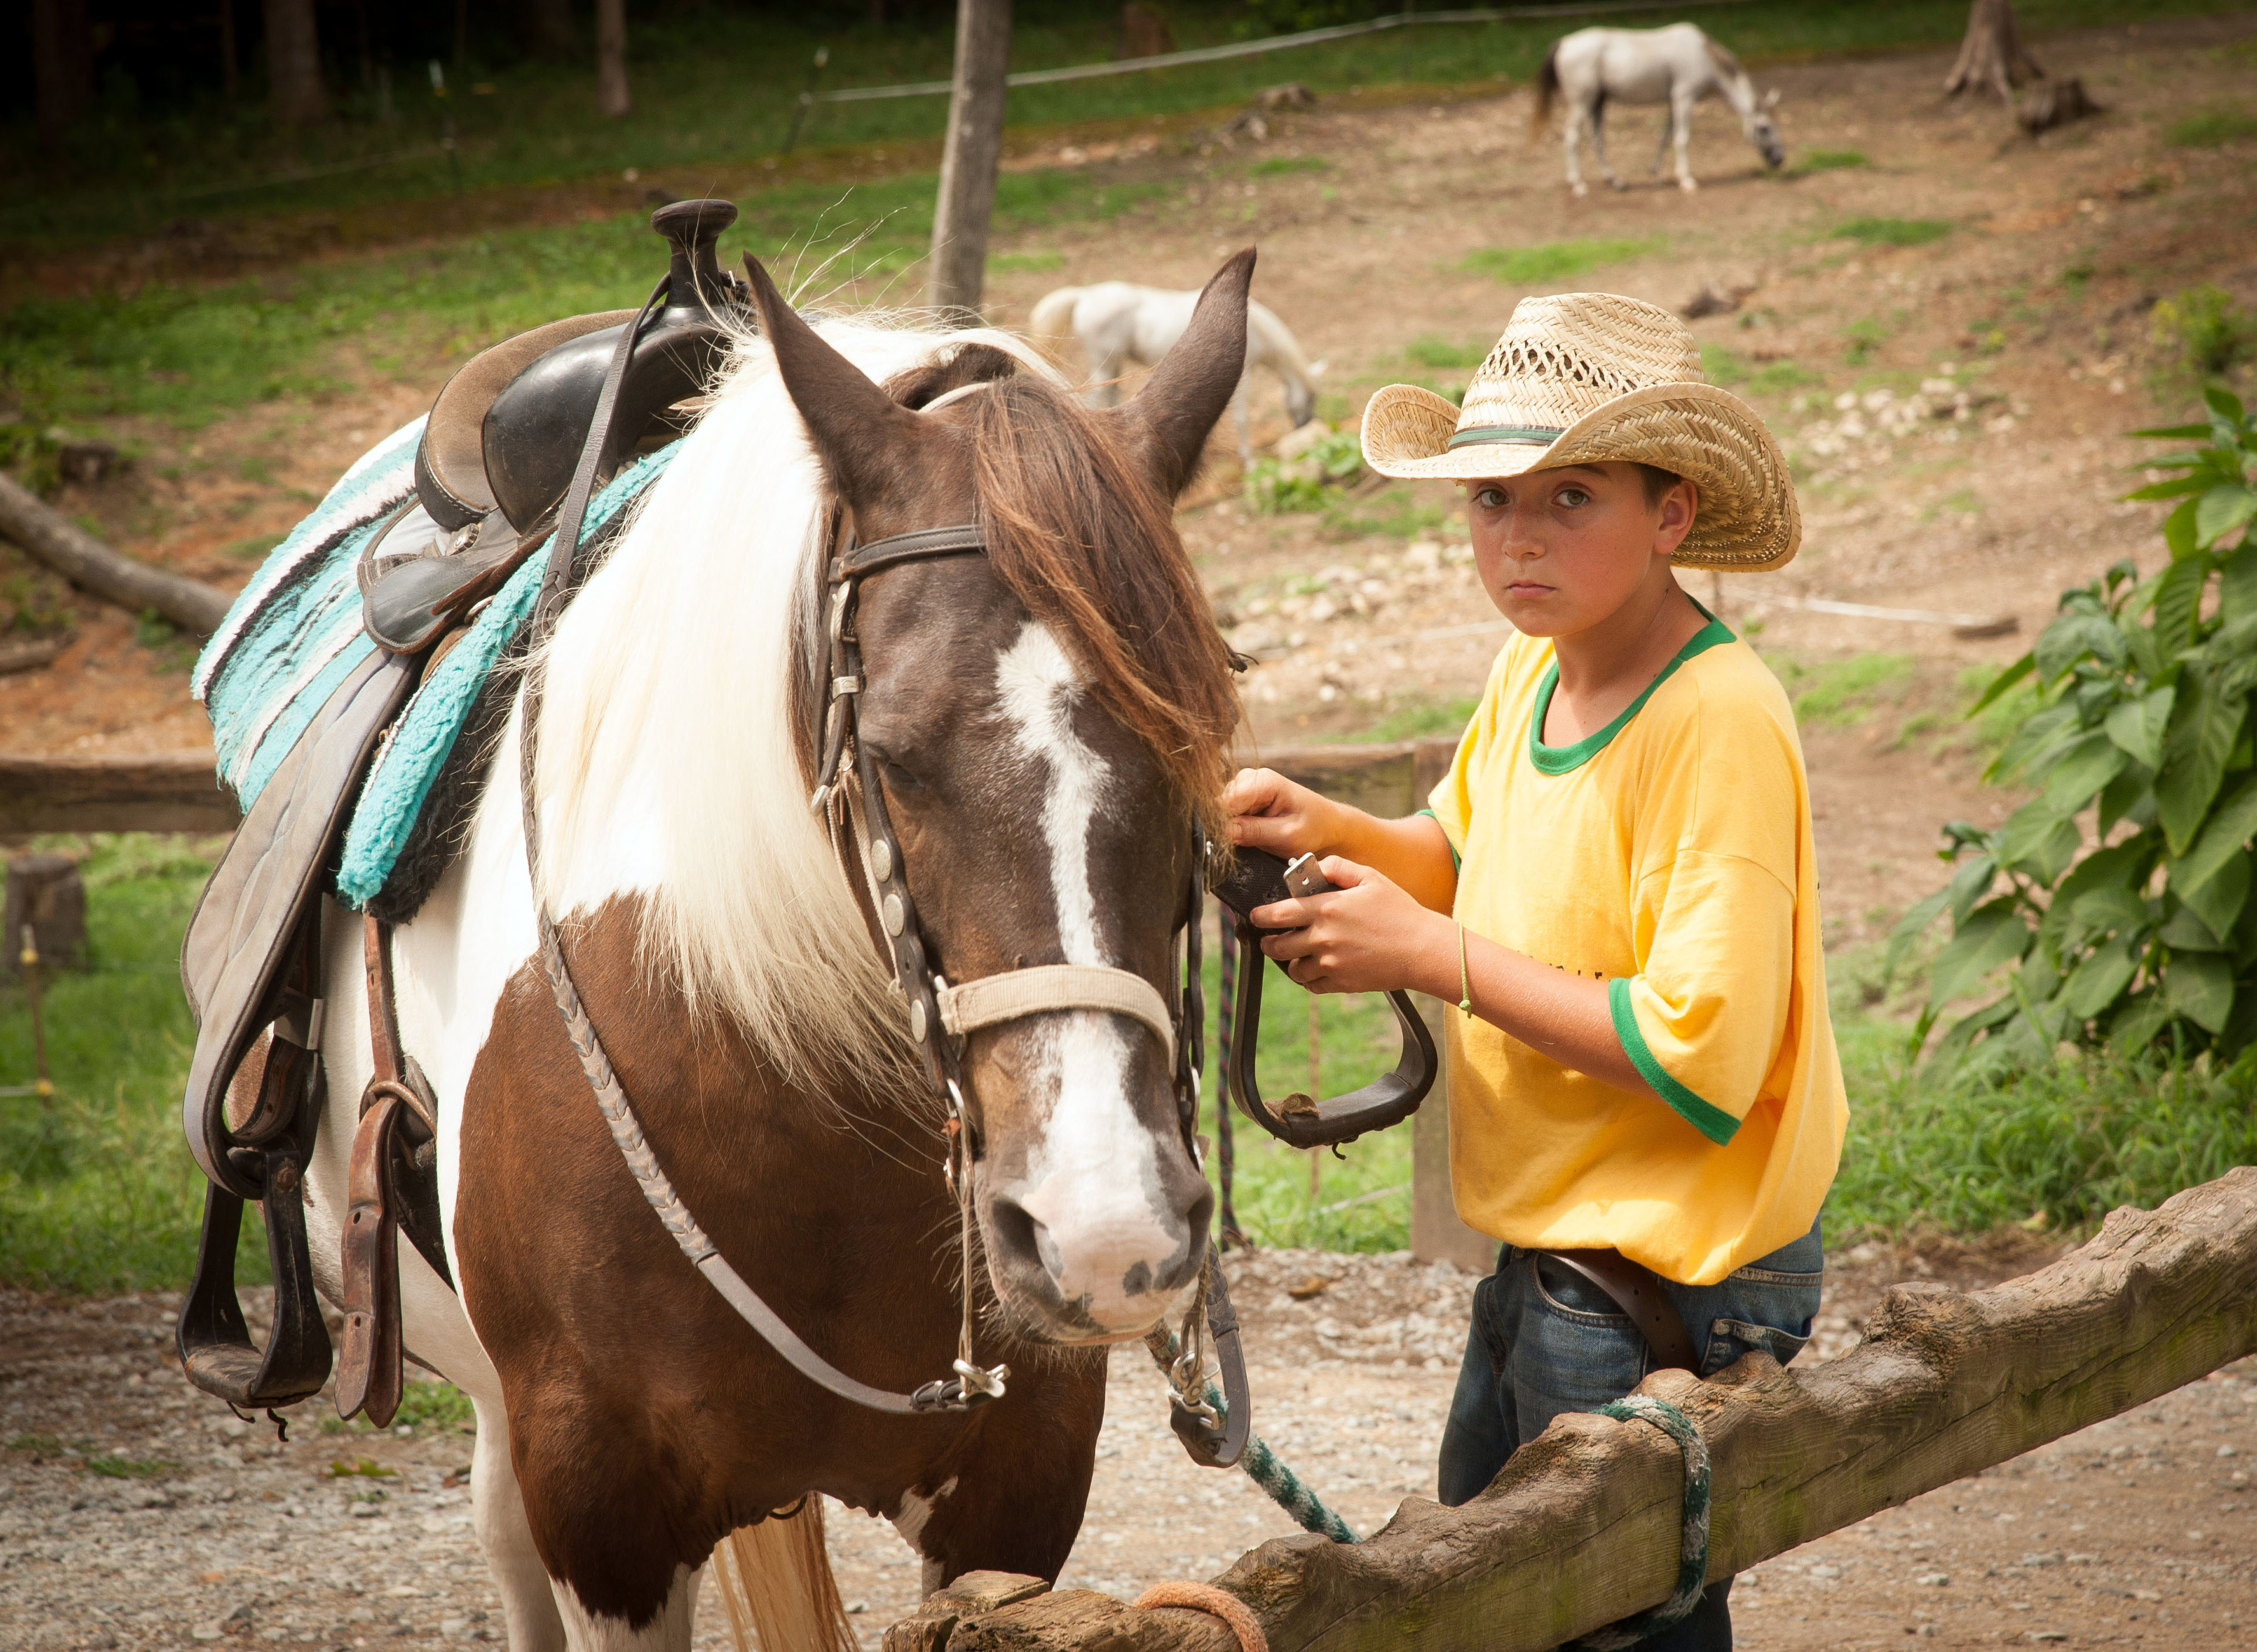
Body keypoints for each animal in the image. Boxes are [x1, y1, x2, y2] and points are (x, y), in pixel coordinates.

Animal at [1535, 23, 1778, 196]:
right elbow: (1682, 139)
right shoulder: (1684, 98)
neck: (1703, 54)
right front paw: (1687, 181)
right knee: (1572, 138)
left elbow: (1665, 136)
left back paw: (1616, 182)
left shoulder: (1673, 102)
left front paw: (1657, 176)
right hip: (1582, 103)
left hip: (1598, 103)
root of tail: (1564, 43)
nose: (1779, 159)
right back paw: (1579, 186)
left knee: (1596, 140)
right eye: (1764, 128)